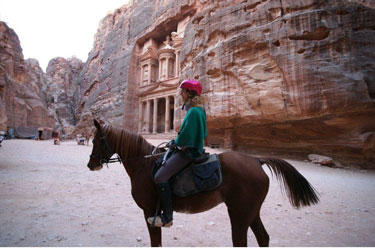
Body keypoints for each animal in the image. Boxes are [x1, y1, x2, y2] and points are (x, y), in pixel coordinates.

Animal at [86, 120, 318, 247]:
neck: (144, 164)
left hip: (240, 213)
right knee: (263, 238)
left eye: (96, 140)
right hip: (251, 212)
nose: (90, 164)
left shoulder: (150, 213)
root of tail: (256, 160)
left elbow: (155, 242)